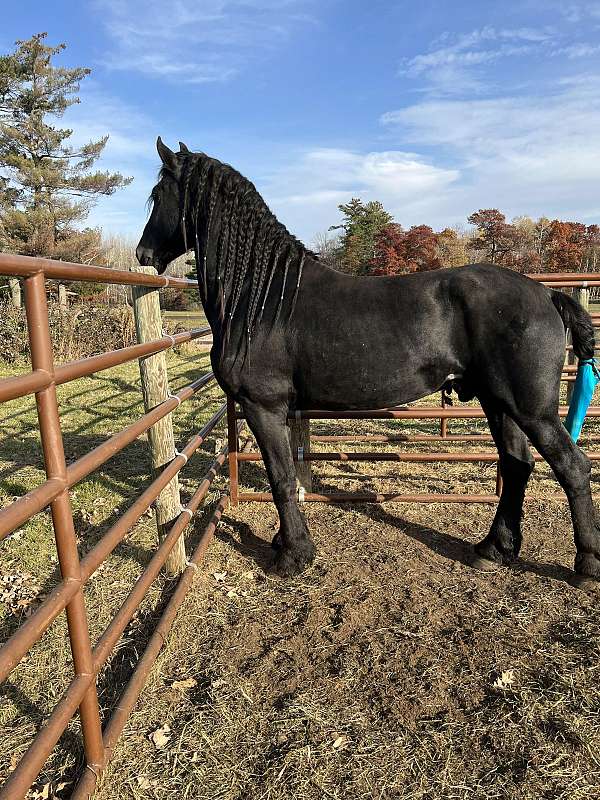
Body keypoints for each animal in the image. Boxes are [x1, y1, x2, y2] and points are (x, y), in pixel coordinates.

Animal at [137, 139, 600, 588]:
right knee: (517, 465)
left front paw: (292, 556)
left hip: (531, 408)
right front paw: (288, 543)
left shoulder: (262, 406)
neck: (264, 298)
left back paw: (585, 565)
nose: (143, 253)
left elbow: (281, 479)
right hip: (498, 402)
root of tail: (546, 294)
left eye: (158, 195)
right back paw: (493, 550)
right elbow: (287, 475)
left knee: (573, 466)